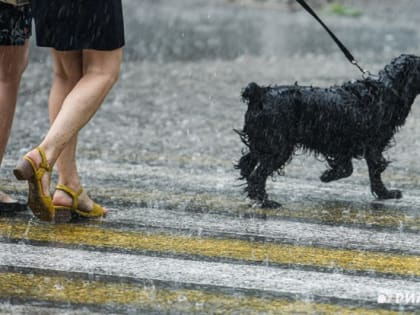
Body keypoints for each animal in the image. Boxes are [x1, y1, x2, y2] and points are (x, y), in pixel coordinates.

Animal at [235, 55, 420, 207]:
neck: (388, 89)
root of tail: (259, 93)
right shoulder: (373, 145)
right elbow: (374, 170)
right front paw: (385, 193)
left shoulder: (343, 144)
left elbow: (347, 168)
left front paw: (327, 175)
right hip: (278, 147)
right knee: (257, 175)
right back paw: (265, 202)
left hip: (262, 142)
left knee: (247, 164)